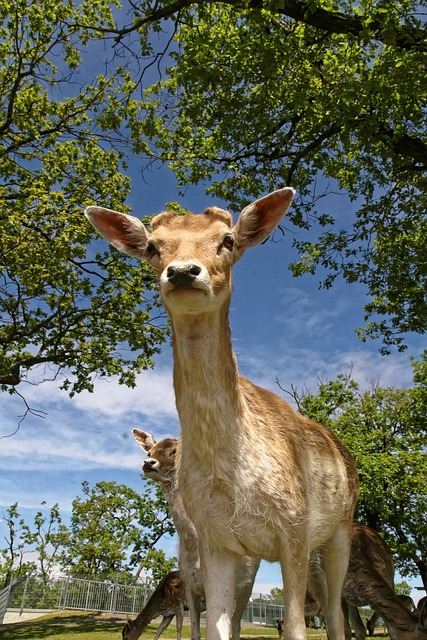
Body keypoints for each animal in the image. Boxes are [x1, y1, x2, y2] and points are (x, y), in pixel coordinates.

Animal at [132, 428, 260, 640]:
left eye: (174, 450)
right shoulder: (191, 588)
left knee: (236, 626)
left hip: (246, 590)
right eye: (149, 451)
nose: (148, 463)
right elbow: (195, 632)